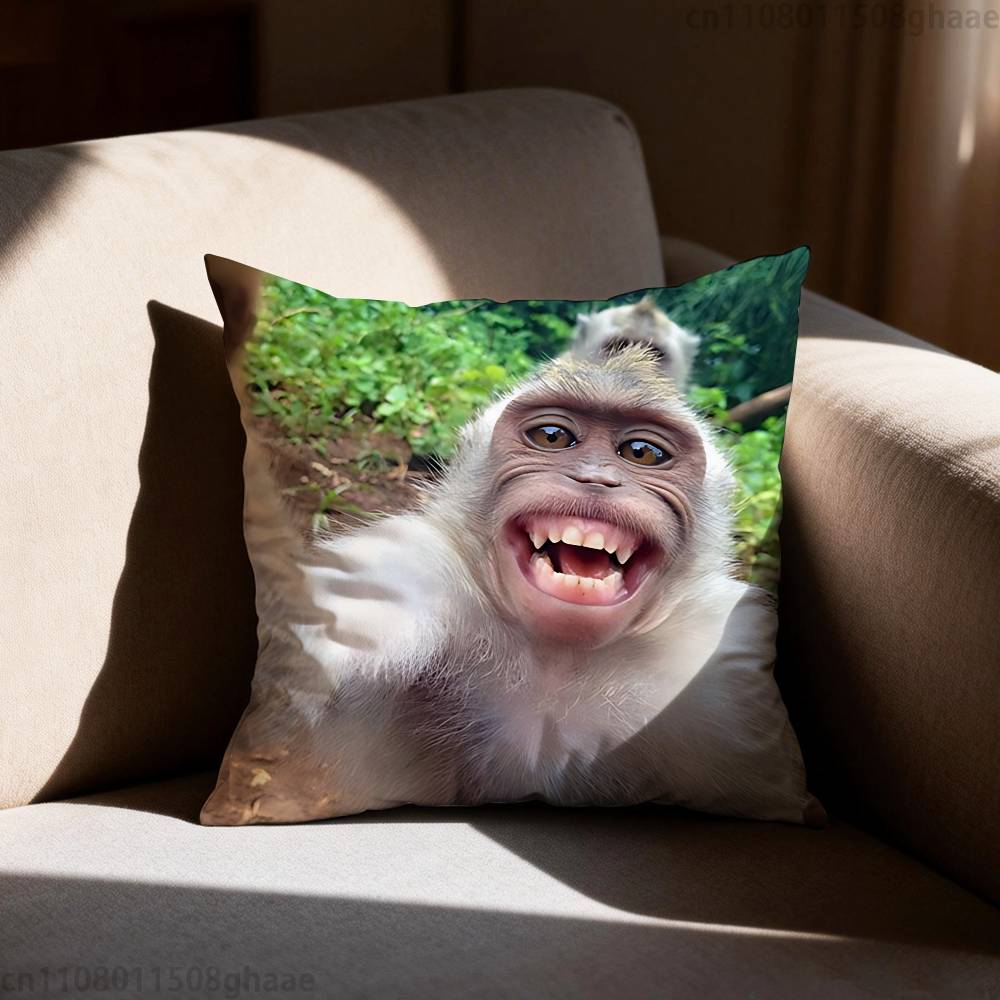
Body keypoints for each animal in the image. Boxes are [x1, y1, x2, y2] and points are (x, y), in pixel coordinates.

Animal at [201, 346, 822, 828]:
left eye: (642, 452)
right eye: (552, 436)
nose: (595, 478)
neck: (559, 658)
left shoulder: (722, 653)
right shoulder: (406, 579)